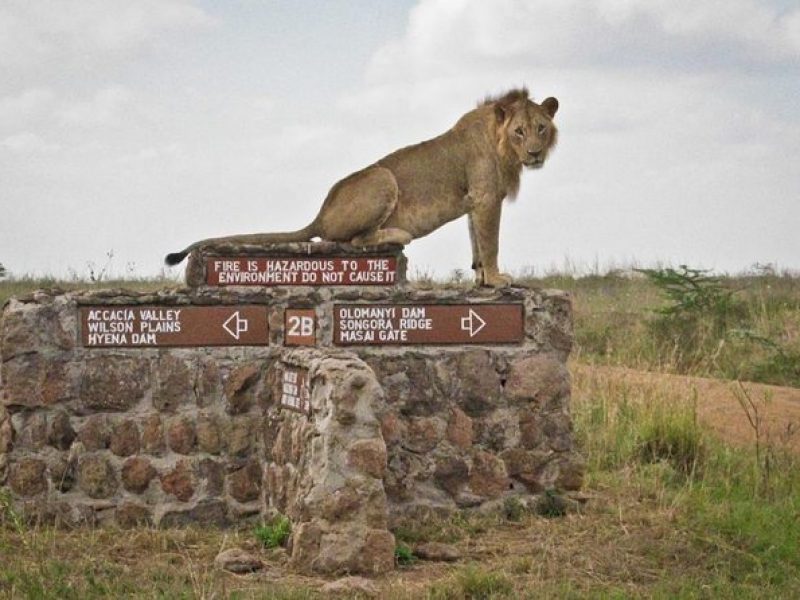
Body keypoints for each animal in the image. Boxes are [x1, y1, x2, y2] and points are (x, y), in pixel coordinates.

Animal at [166, 86, 560, 288]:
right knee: (349, 241)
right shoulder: (486, 198)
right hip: (382, 178)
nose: (535, 153)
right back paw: (398, 234)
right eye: (519, 132)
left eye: (541, 128)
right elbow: (491, 242)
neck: (503, 148)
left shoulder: (474, 202)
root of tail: (320, 214)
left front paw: (480, 277)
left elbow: (476, 242)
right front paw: (496, 278)